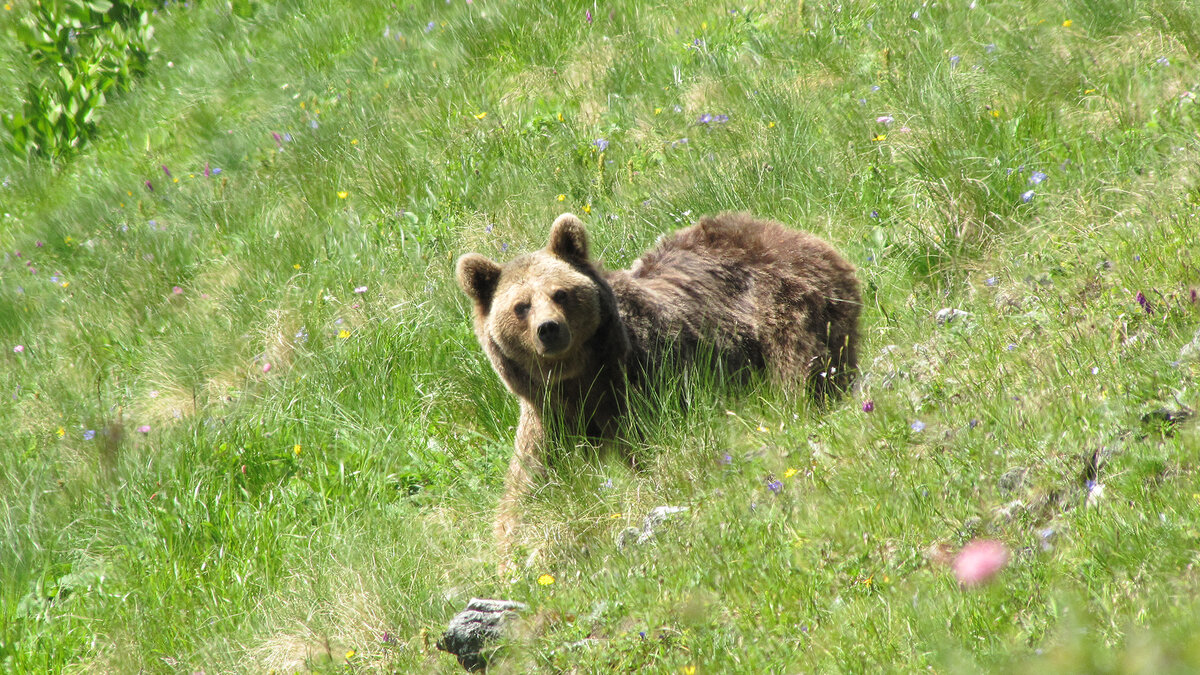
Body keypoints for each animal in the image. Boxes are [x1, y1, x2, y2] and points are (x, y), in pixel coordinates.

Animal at [453, 211, 859, 562]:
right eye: (521, 306)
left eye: (560, 293)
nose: (549, 329)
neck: (582, 379)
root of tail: (795, 235)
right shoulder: (551, 416)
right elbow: (531, 488)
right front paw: (515, 550)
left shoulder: (648, 382)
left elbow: (659, 447)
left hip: (791, 313)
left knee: (802, 378)